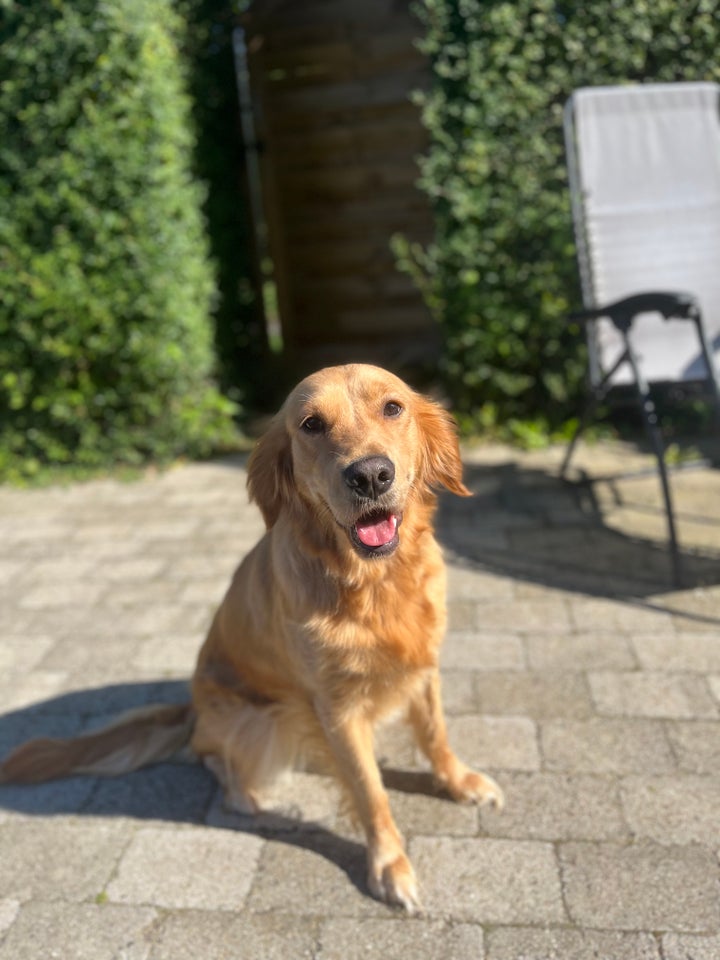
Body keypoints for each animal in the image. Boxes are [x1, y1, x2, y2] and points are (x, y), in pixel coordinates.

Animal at [1, 364, 500, 912]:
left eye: (393, 407)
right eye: (311, 425)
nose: (370, 475)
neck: (376, 583)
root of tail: (193, 707)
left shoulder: (424, 665)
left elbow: (435, 734)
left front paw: (458, 780)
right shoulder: (335, 705)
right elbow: (370, 791)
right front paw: (389, 864)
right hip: (263, 717)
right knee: (213, 757)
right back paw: (249, 793)